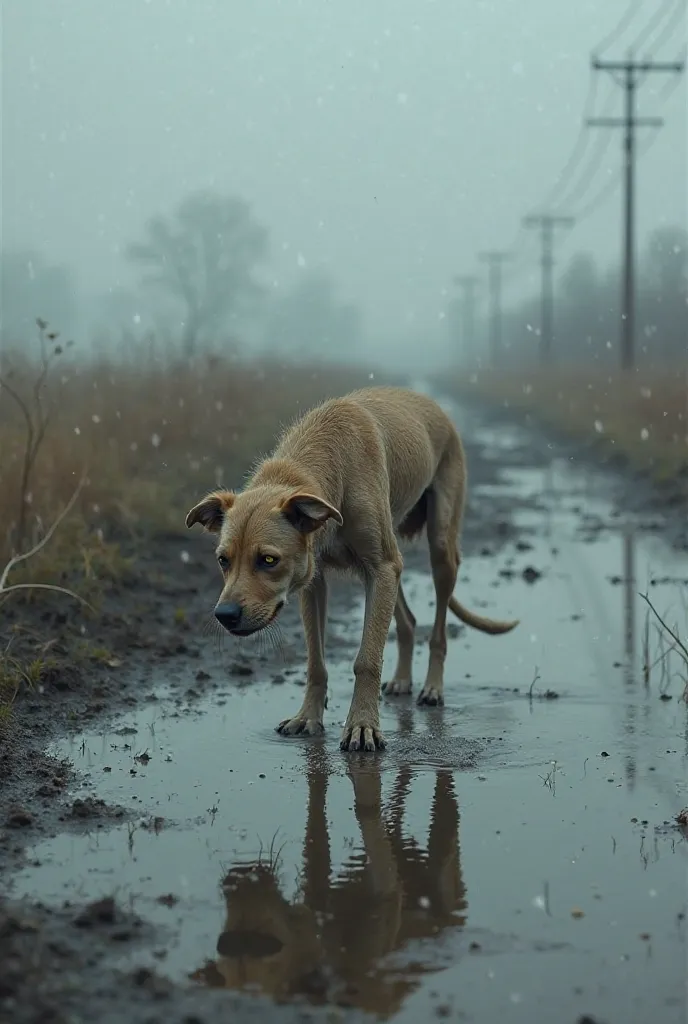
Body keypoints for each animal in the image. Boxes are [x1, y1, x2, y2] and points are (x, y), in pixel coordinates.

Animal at [185, 385, 518, 753]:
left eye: (268, 560)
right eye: (223, 560)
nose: (225, 615)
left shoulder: (381, 568)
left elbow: (367, 660)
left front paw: (362, 725)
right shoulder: (316, 581)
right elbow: (315, 661)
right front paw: (308, 717)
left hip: (438, 552)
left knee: (438, 632)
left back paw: (432, 687)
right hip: (388, 568)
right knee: (407, 621)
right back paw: (402, 679)